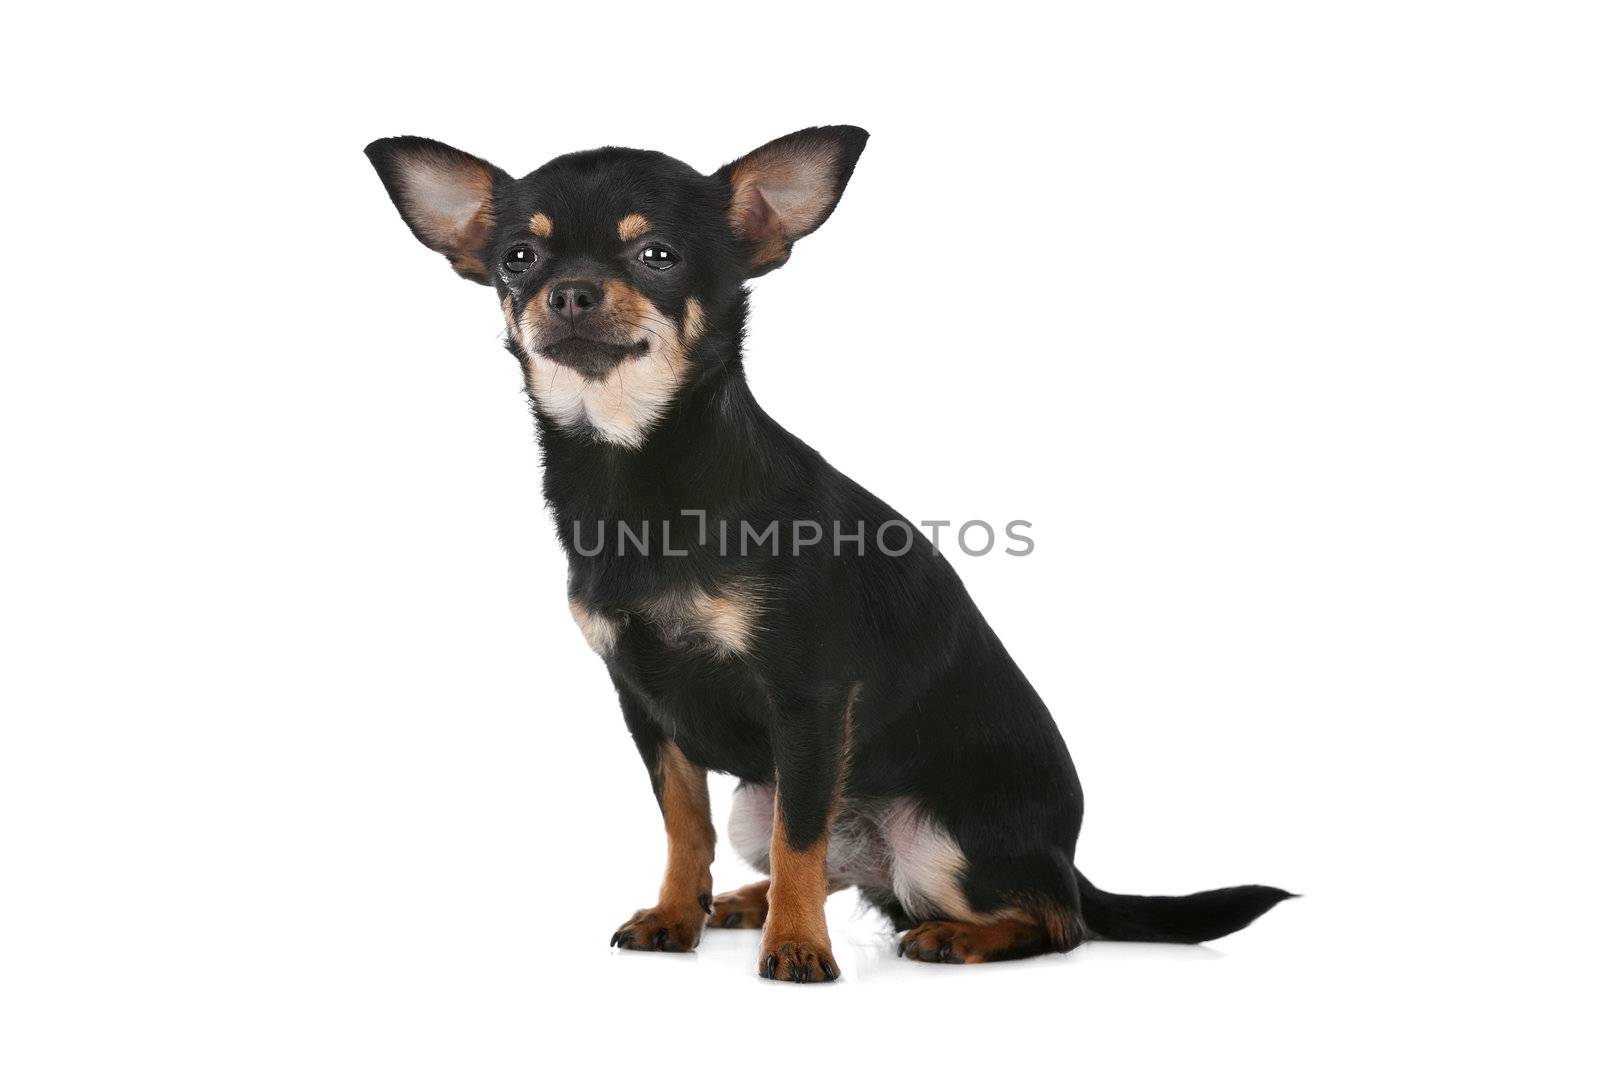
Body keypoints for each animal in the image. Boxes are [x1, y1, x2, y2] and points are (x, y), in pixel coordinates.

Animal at [363, 127, 1286, 985]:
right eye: (517, 258)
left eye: (657, 255)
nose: (570, 291)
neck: (636, 467)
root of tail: (1068, 856)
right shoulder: (645, 703)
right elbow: (686, 824)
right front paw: (677, 913)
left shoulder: (808, 700)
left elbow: (799, 836)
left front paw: (799, 946)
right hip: (768, 799)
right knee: (832, 864)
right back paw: (745, 901)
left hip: (943, 843)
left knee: (1056, 919)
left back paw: (954, 934)